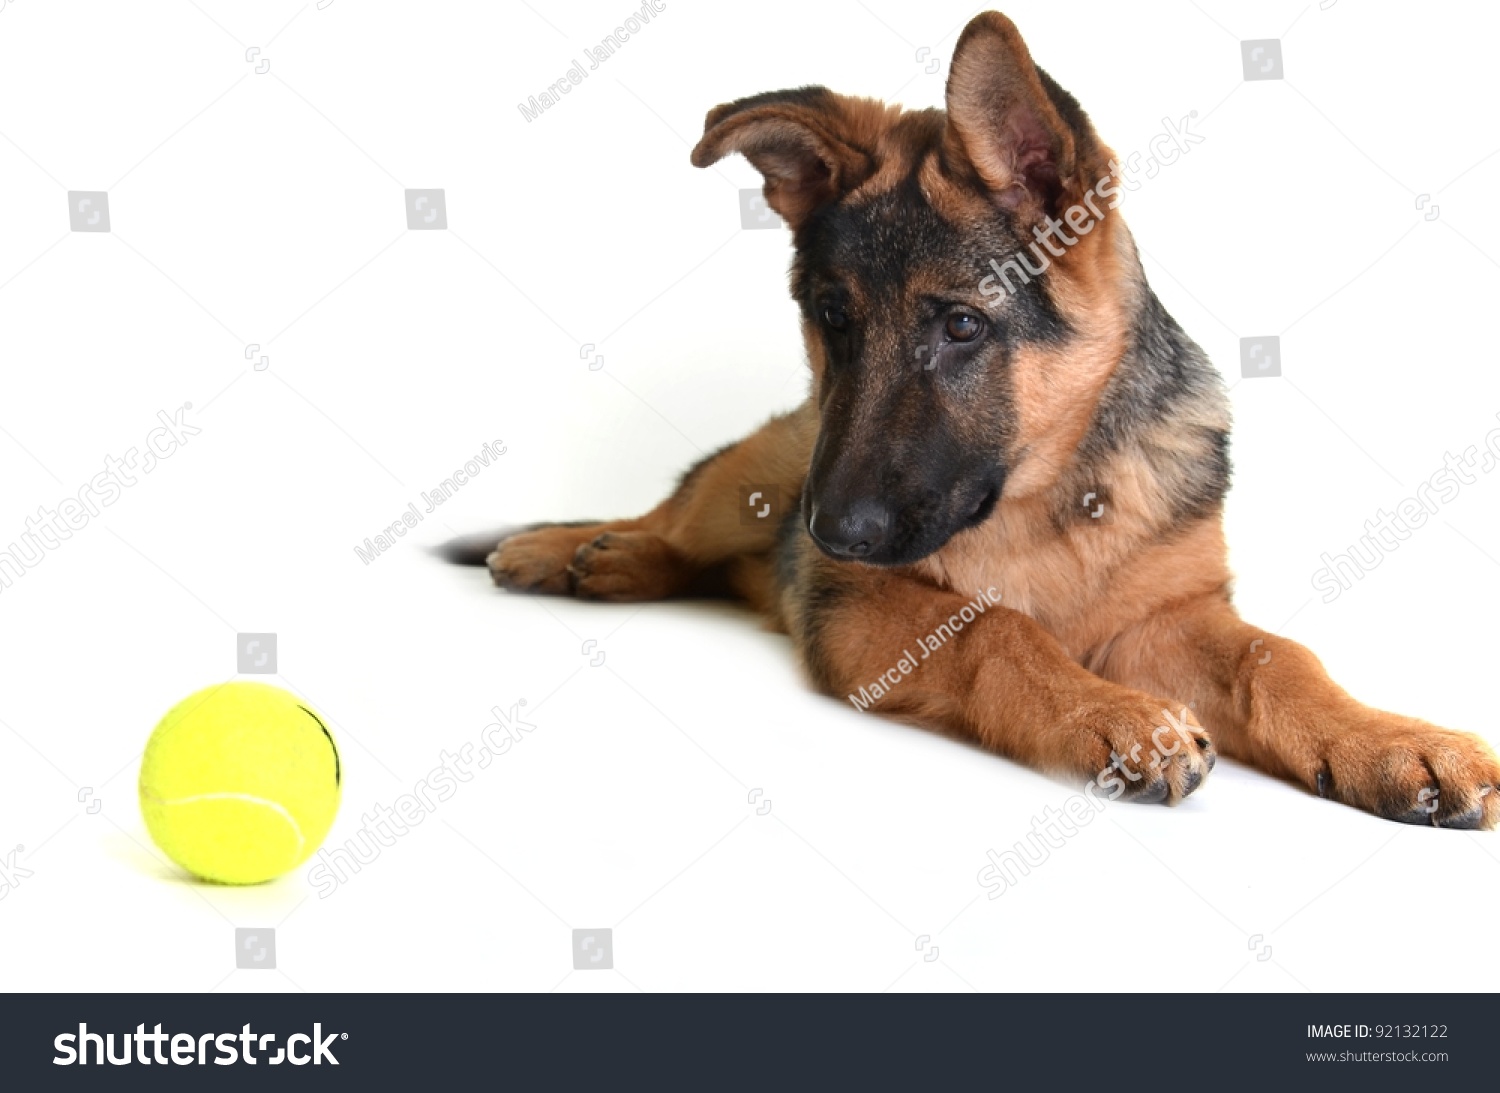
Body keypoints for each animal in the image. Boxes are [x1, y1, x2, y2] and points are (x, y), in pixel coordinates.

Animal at [444, 10, 1500, 827]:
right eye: (831, 318)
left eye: (960, 325)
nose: (831, 534)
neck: (1054, 496)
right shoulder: (861, 606)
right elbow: (994, 626)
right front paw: (1112, 714)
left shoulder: (1169, 614)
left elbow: (1276, 656)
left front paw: (1392, 740)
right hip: (752, 479)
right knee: (670, 521)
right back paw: (576, 550)